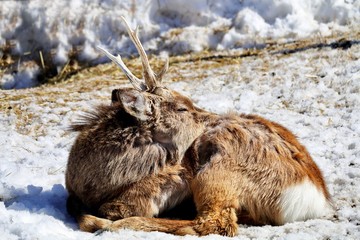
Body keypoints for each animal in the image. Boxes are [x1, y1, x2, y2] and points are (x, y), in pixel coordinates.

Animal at [66, 16, 334, 236]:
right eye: (182, 108)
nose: (210, 116)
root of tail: (314, 196)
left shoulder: (176, 175)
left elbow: (113, 207)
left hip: (218, 169)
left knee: (215, 222)